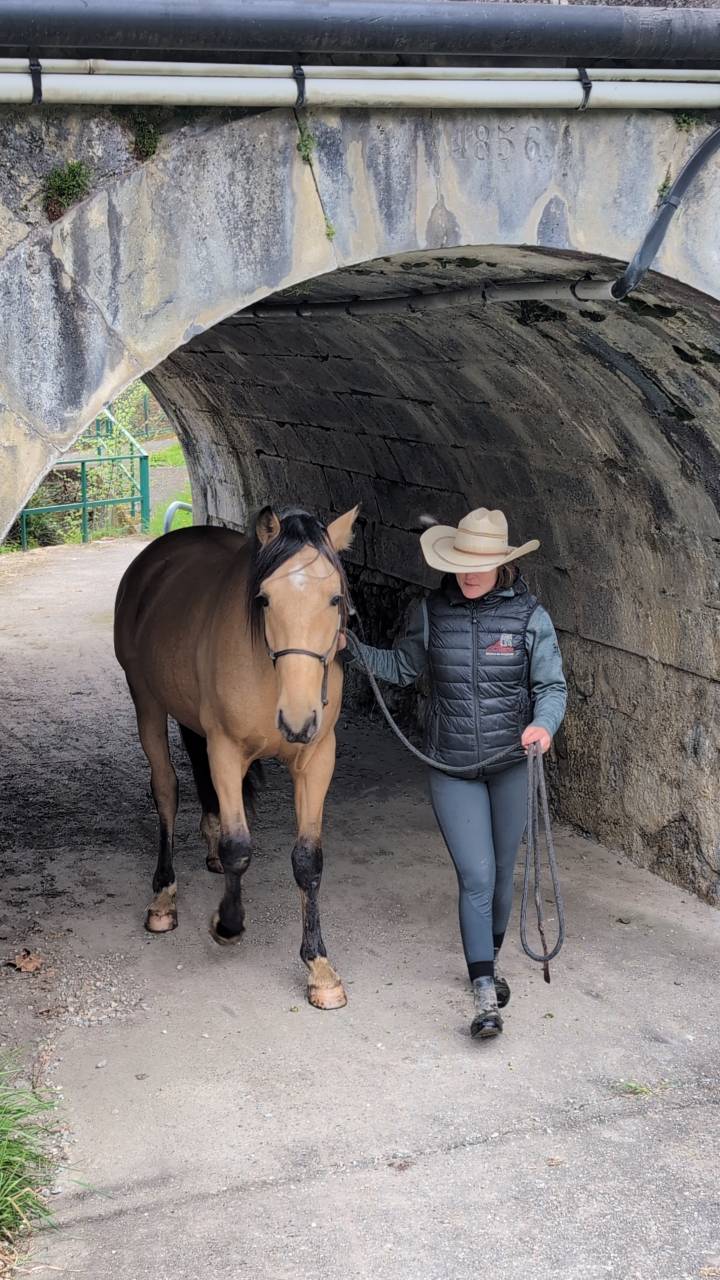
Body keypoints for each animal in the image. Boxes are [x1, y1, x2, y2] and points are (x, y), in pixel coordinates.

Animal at [113, 504, 359, 1010]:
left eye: (335, 598)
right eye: (263, 599)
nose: (298, 719)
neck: (272, 677)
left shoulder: (317, 758)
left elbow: (308, 860)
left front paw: (319, 967)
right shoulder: (226, 750)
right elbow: (238, 847)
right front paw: (227, 923)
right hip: (146, 702)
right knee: (166, 790)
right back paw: (163, 898)